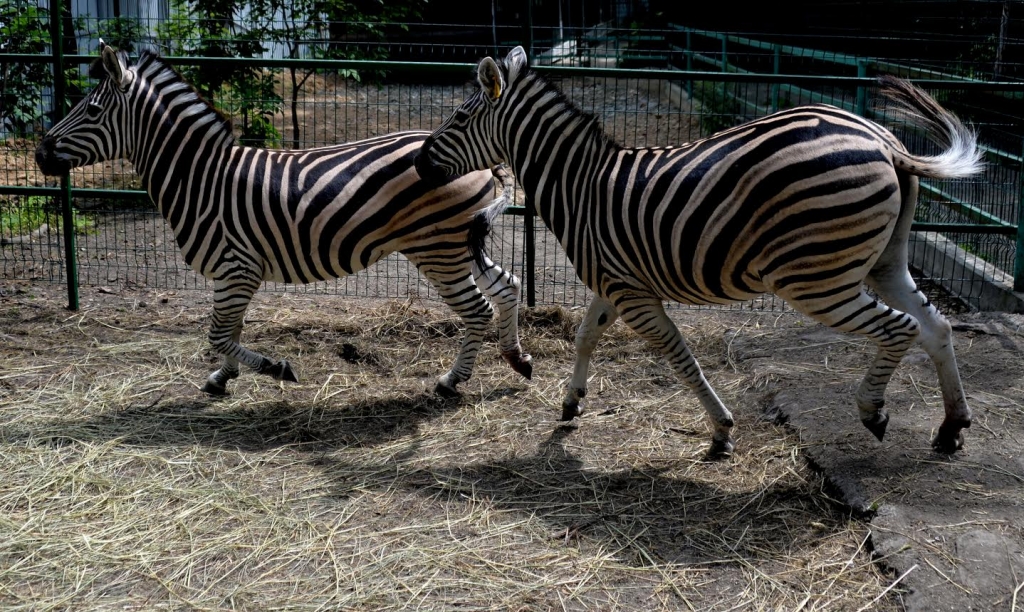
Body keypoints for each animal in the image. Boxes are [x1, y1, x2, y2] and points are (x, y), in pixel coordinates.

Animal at [36, 44, 532, 399]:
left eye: (91, 111)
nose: (40, 154)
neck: (199, 176)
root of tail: (487, 162)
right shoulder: (233, 273)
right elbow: (229, 329)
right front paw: (222, 377)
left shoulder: (236, 266)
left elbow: (219, 332)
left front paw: (276, 368)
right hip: (459, 243)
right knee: (507, 286)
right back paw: (517, 358)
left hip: (438, 249)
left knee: (478, 309)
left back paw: (452, 382)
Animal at [415, 48, 983, 458]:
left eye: (459, 118)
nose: (420, 165)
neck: (578, 185)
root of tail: (884, 141)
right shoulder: (614, 281)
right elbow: (585, 338)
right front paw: (571, 402)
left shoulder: (630, 292)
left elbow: (680, 357)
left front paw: (721, 430)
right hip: (883, 262)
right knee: (936, 326)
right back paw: (951, 427)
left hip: (814, 279)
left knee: (901, 328)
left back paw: (873, 411)